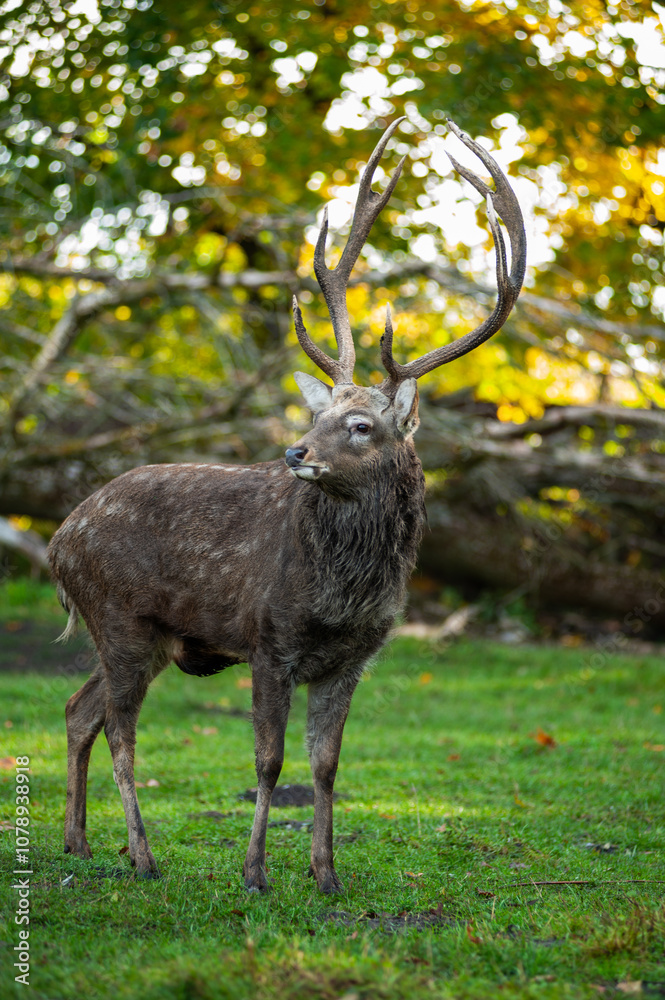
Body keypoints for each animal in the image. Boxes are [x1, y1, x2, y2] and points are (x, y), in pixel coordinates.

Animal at [47, 117, 526, 894]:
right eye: (317, 414)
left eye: (359, 425)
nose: (295, 452)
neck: (340, 594)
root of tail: (58, 542)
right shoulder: (268, 638)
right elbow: (268, 761)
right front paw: (255, 871)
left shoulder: (355, 657)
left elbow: (327, 764)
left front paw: (326, 874)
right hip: (117, 615)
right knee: (118, 726)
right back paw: (141, 855)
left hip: (143, 636)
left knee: (76, 709)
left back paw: (78, 842)